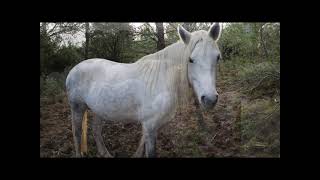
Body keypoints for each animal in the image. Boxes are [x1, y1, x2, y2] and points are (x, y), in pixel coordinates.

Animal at [66, 22, 221, 158]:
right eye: (190, 59)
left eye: (217, 57)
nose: (210, 99)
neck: (162, 80)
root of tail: (74, 69)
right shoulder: (150, 125)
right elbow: (150, 151)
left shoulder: (150, 126)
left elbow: (142, 144)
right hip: (77, 107)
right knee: (77, 133)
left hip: (99, 109)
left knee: (96, 130)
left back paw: (105, 154)